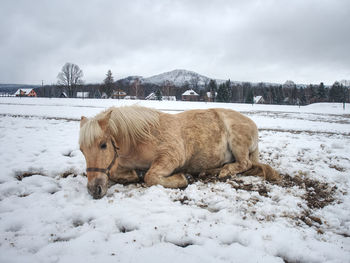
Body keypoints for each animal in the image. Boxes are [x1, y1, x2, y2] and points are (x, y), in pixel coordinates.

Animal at [79, 106, 278, 199]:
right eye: (82, 150)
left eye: (103, 145)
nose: (94, 190)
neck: (141, 139)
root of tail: (252, 123)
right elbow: (116, 172)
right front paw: (132, 175)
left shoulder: (170, 157)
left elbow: (150, 177)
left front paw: (182, 178)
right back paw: (210, 171)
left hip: (238, 143)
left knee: (245, 163)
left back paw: (223, 172)